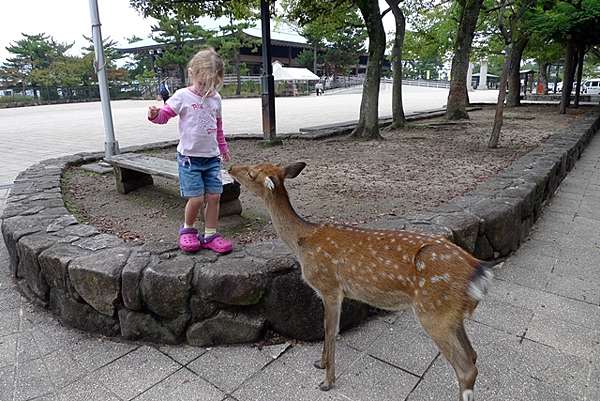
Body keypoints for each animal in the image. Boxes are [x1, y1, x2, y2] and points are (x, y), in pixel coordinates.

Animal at [227, 161, 494, 398]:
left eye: (252, 173)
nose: (230, 167)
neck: (302, 241)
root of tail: (478, 271)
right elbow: (327, 330)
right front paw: (320, 363)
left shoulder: (330, 287)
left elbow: (330, 330)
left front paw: (327, 381)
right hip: (450, 313)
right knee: (473, 355)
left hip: (432, 311)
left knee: (466, 369)